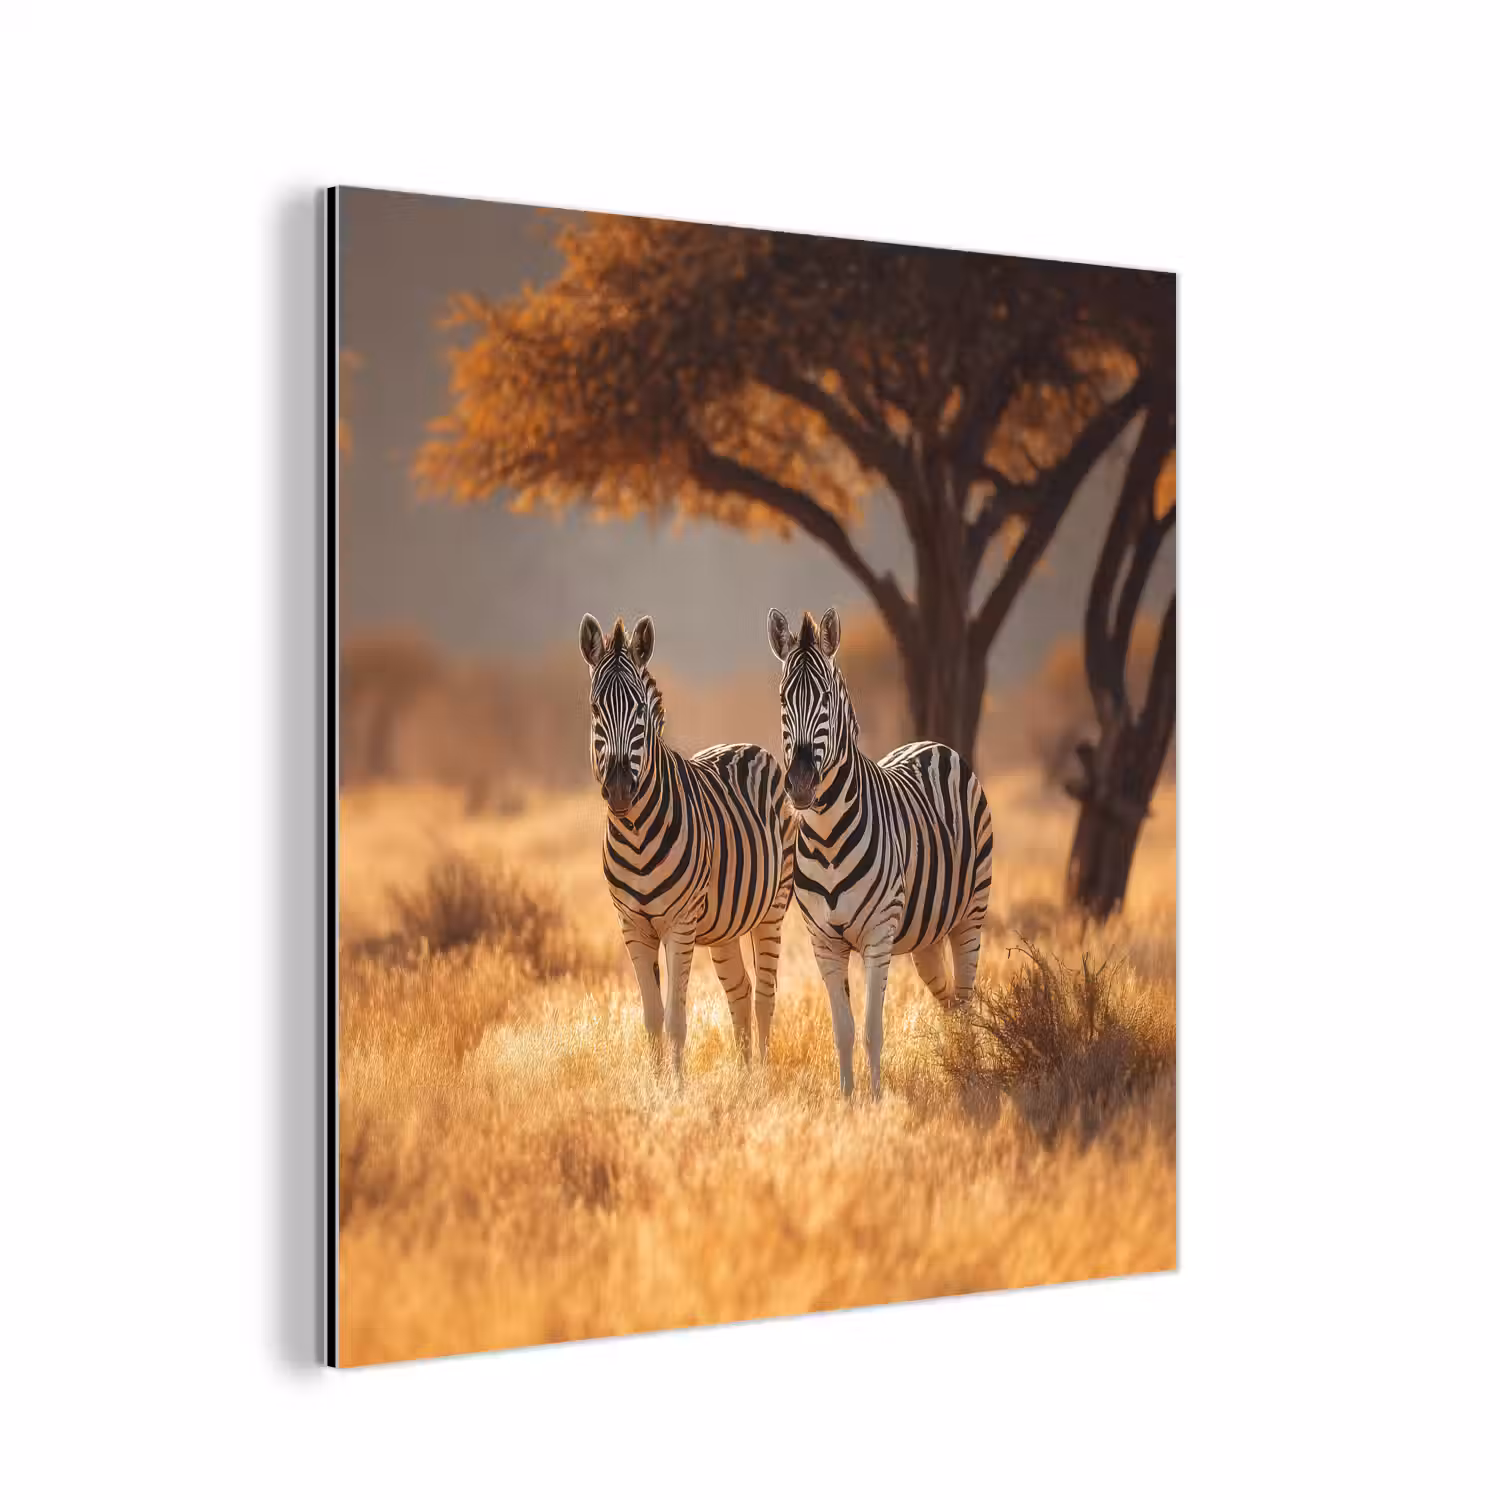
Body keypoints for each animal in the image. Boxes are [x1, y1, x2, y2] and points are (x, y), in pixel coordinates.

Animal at [581, 613, 796, 1077]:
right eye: (595, 709)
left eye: (640, 711)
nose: (620, 789)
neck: (636, 833)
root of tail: (748, 746)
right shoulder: (632, 926)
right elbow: (651, 1018)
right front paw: (657, 1084)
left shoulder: (679, 924)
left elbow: (676, 1019)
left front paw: (676, 1089)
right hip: (723, 925)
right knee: (740, 992)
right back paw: (743, 1079)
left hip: (772, 907)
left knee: (764, 996)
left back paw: (763, 1079)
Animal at [768, 607, 994, 1099]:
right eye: (782, 697)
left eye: (826, 698)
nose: (800, 784)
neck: (828, 837)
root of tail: (933, 744)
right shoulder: (824, 942)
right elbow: (844, 1030)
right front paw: (847, 1100)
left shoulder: (877, 935)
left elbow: (872, 1029)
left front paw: (875, 1101)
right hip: (926, 935)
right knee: (949, 1002)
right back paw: (956, 1068)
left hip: (970, 914)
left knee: (966, 1000)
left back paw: (971, 1075)